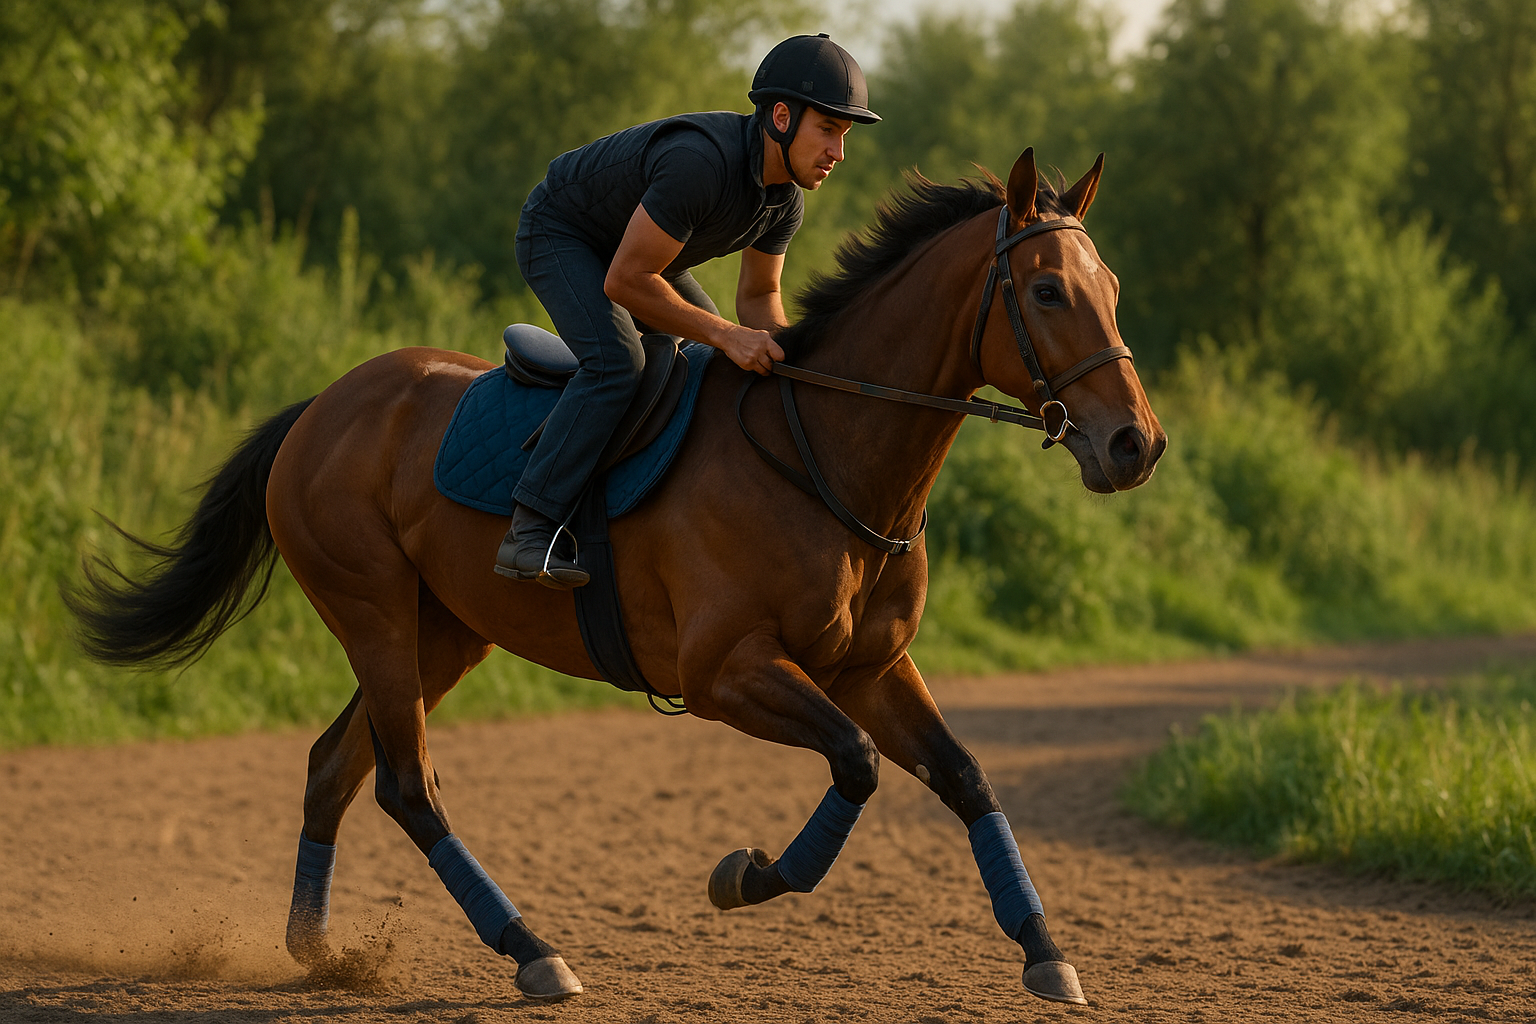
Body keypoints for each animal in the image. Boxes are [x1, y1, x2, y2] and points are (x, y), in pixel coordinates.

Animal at [69, 148, 1165, 1006]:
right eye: (1047, 291)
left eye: (1111, 288)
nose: (1135, 444)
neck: (828, 456)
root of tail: (322, 406)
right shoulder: (726, 671)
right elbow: (854, 763)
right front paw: (746, 875)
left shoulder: (874, 669)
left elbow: (966, 775)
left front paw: (1047, 953)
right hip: (373, 611)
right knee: (407, 786)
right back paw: (531, 951)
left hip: (442, 631)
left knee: (333, 767)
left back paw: (319, 949)